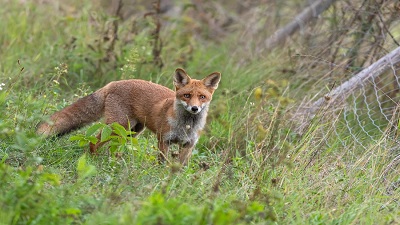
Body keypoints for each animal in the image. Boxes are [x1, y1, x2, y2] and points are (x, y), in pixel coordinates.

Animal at [36, 67, 222, 164]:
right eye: (187, 96)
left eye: (202, 97)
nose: (194, 108)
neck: (186, 125)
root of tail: (113, 83)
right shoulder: (164, 140)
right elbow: (162, 163)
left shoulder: (188, 145)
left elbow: (179, 167)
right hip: (118, 126)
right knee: (94, 142)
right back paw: (94, 162)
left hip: (131, 131)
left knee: (112, 147)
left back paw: (114, 162)